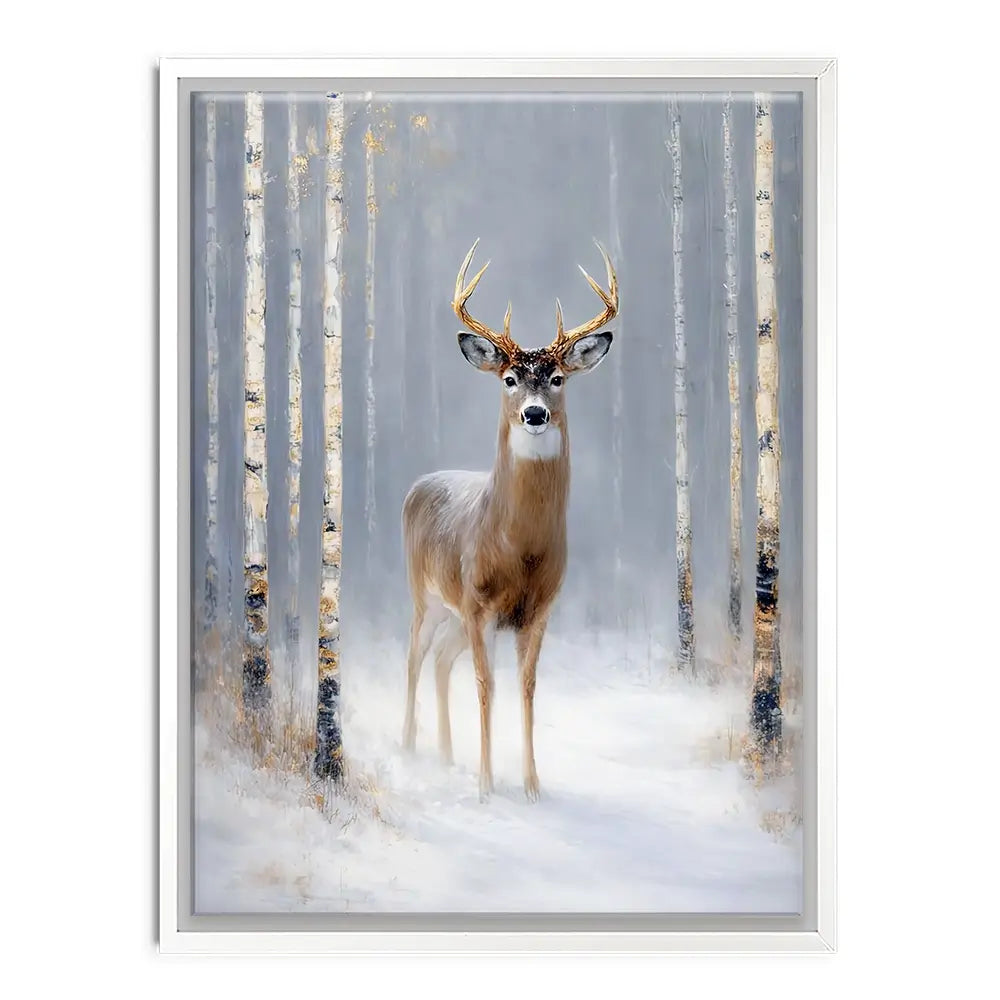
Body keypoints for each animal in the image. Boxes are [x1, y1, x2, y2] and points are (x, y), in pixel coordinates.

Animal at [400, 239, 619, 801]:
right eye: (510, 378)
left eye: (558, 377)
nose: (535, 414)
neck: (519, 549)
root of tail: (417, 484)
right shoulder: (478, 604)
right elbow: (485, 685)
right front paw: (484, 785)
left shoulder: (537, 611)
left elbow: (527, 686)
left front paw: (531, 785)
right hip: (427, 594)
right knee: (414, 655)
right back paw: (409, 746)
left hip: (455, 615)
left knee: (440, 659)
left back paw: (446, 755)